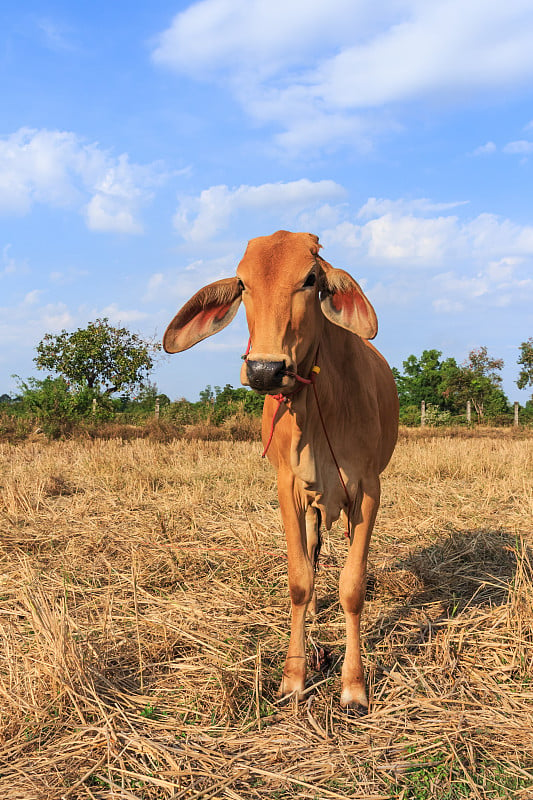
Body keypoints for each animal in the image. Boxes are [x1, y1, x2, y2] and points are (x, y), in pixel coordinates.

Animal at [164, 231, 396, 712]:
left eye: (310, 279)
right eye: (242, 283)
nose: (265, 370)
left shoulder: (368, 490)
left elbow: (353, 587)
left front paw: (354, 685)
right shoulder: (288, 489)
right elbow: (298, 580)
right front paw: (294, 676)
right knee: (311, 552)